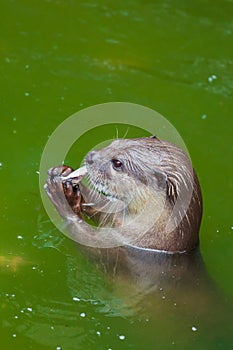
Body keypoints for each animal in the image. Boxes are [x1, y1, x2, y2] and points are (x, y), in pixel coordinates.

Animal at [45, 135, 202, 253]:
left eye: (117, 163)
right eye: (114, 143)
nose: (90, 156)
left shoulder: (122, 241)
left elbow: (83, 237)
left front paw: (58, 193)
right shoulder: (115, 217)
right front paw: (63, 173)